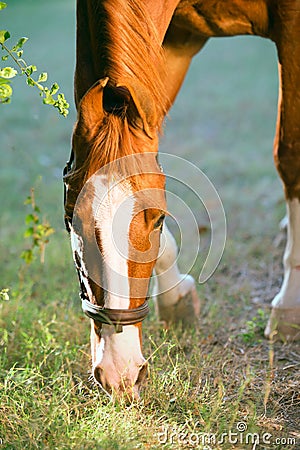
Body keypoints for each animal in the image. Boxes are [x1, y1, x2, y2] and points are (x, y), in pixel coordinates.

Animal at [64, 0, 300, 400]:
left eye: (158, 219)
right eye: (72, 222)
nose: (119, 372)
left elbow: (290, 155)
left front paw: (289, 306)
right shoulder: (175, 39)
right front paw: (175, 297)